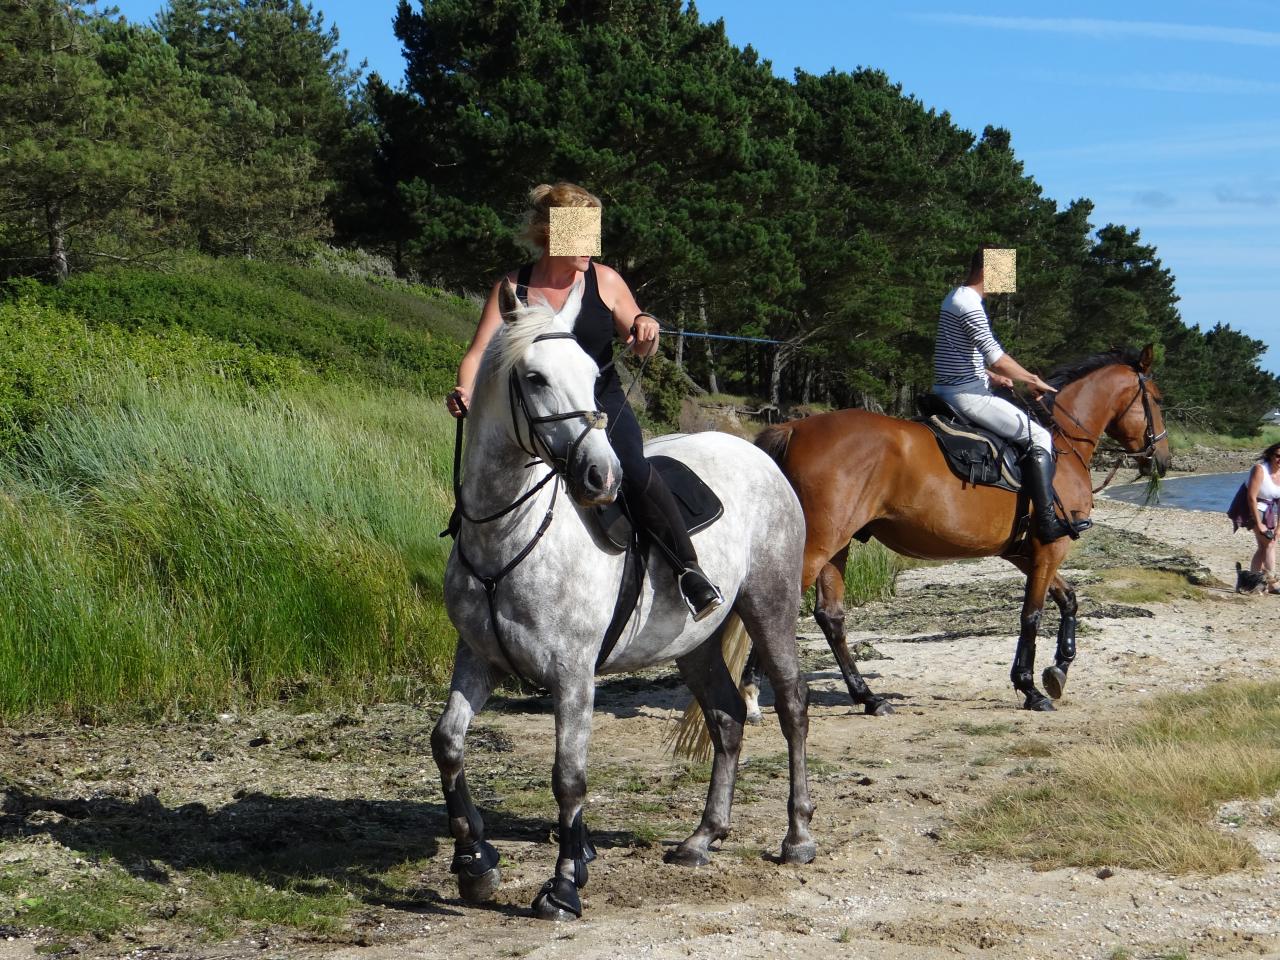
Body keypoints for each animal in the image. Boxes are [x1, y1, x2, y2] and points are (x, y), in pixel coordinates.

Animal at [435, 280, 808, 926]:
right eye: (534, 377)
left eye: (592, 375)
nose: (600, 476)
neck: (508, 535)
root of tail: (758, 453)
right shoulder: (477, 659)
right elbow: (448, 744)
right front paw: (475, 864)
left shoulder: (573, 673)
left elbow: (569, 777)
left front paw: (563, 886)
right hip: (695, 644)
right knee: (727, 718)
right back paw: (702, 838)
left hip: (772, 608)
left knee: (791, 707)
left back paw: (798, 837)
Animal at [752, 345, 1172, 716]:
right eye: (1156, 398)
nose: (1163, 460)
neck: (1061, 444)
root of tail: (794, 427)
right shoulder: (1049, 549)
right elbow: (1032, 615)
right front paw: (1030, 688)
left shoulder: (1026, 553)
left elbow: (1068, 599)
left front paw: (1059, 668)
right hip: (817, 546)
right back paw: (755, 694)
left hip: (835, 548)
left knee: (830, 616)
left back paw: (867, 698)